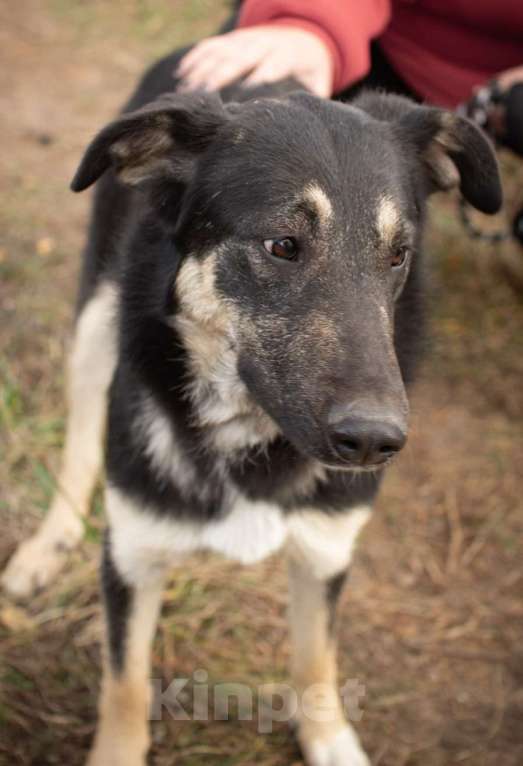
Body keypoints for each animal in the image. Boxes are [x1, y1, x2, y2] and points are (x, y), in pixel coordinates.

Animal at [1, 46, 504, 760]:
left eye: (398, 255)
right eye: (282, 245)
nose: (375, 441)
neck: (247, 432)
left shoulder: (326, 551)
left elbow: (316, 659)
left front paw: (328, 736)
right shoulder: (134, 554)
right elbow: (124, 683)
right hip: (98, 311)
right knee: (79, 437)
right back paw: (50, 542)